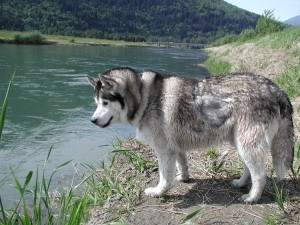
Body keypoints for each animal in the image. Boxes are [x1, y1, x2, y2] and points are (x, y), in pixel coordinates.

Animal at [86, 67, 292, 204]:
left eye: (105, 102)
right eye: (96, 102)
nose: (93, 120)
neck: (143, 95)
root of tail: (276, 88)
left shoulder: (164, 150)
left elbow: (164, 176)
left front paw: (159, 192)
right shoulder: (175, 147)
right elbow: (182, 164)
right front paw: (183, 178)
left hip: (247, 143)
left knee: (260, 175)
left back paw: (252, 197)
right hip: (239, 143)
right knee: (249, 168)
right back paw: (241, 183)